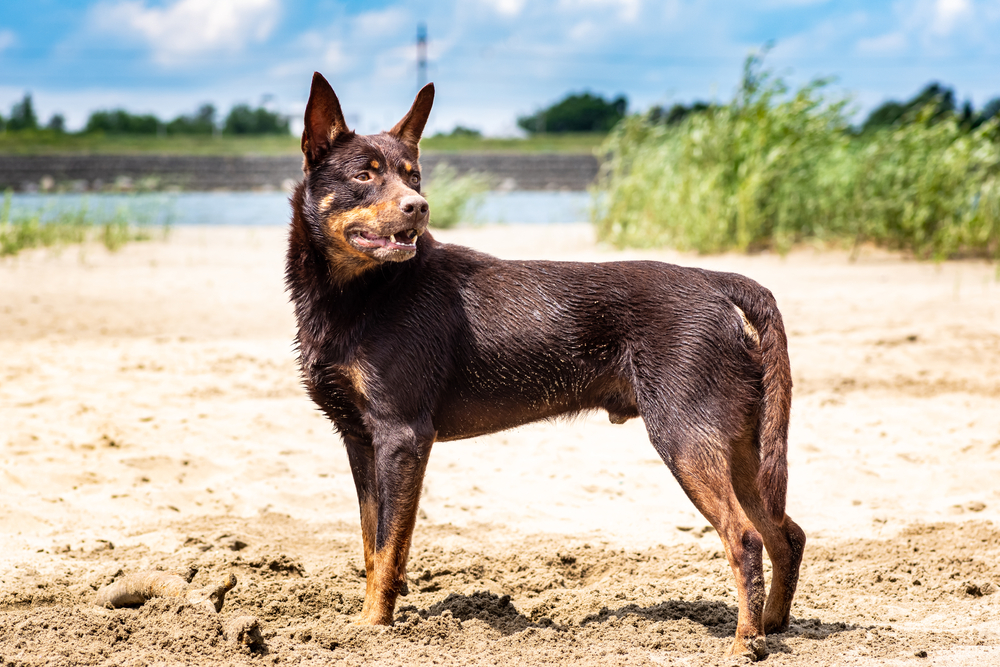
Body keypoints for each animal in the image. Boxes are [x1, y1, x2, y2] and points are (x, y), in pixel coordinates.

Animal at [284, 73, 804, 664]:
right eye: (364, 175)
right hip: (740, 443)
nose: (420, 207)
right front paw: (367, 622)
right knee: (786, 535)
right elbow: (372, 545)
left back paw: (744, 642)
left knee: (745, 538)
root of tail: (718, 282)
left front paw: (373, 629)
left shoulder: (402, 436)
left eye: (413, 175)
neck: (361, 294)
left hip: (685, 437)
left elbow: (390, 546)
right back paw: (772, 627)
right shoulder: (358, 437)